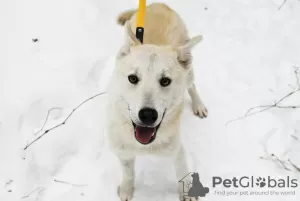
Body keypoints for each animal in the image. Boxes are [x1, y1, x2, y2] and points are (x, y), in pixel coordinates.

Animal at [106, 2, 207, 201]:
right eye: (133, 78)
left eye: (165, 81)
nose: (147, 115)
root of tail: (159, 4)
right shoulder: (123, 151)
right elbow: (128, 173)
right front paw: (127, 190)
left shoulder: (177, 151)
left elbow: (182, 174)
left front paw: (187, 193)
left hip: (189, 72)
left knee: (192, 86)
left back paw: (198, 105)